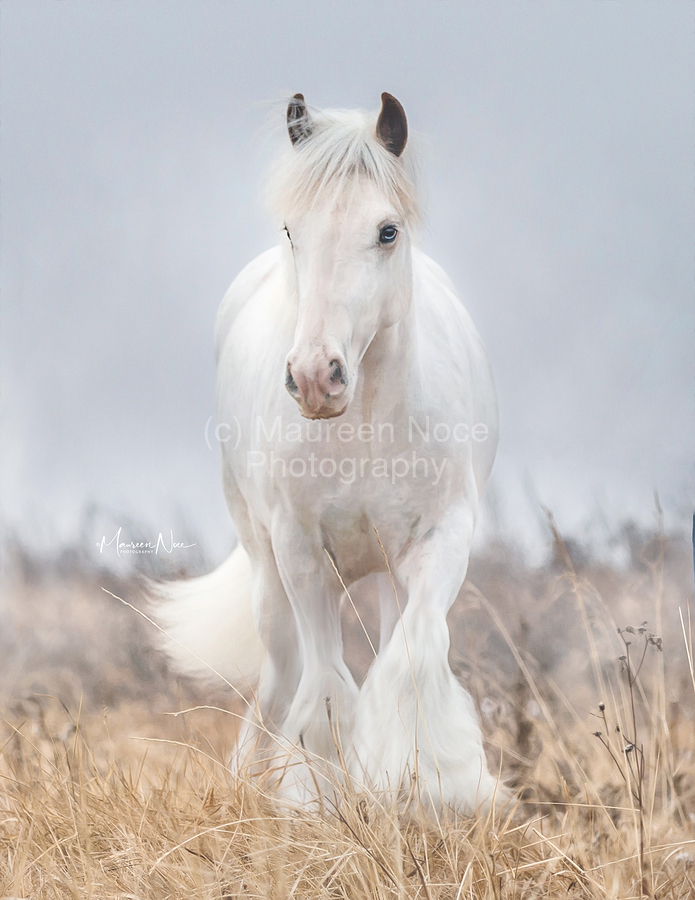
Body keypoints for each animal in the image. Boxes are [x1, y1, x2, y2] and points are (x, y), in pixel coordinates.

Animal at [157, 93, 502, 817]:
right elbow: (322, 686)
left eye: (387, 231)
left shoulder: (441, 539)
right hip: (265, 562)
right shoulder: (299, 547)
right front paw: (316, 795)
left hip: (387, 571)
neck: (366, 421)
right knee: (279, 672)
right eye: (293, 230)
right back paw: (249, 778)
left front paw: (437, 784)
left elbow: (409, 662)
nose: (317, 378)